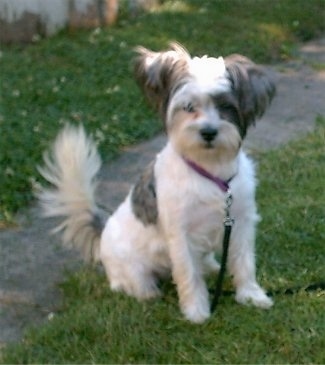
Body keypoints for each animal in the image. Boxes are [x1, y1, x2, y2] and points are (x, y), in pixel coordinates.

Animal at [39, 42, 274, 322]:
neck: (211, 173)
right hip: (133, 270)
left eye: (225, 106)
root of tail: (103, 231)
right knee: (136, 285)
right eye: (188, 107)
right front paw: (197, 311)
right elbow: (188, 275)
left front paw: (251, 296)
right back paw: (148, 293)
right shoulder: (180, 234)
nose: (208, 132)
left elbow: (244, 262)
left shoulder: (241, 223)